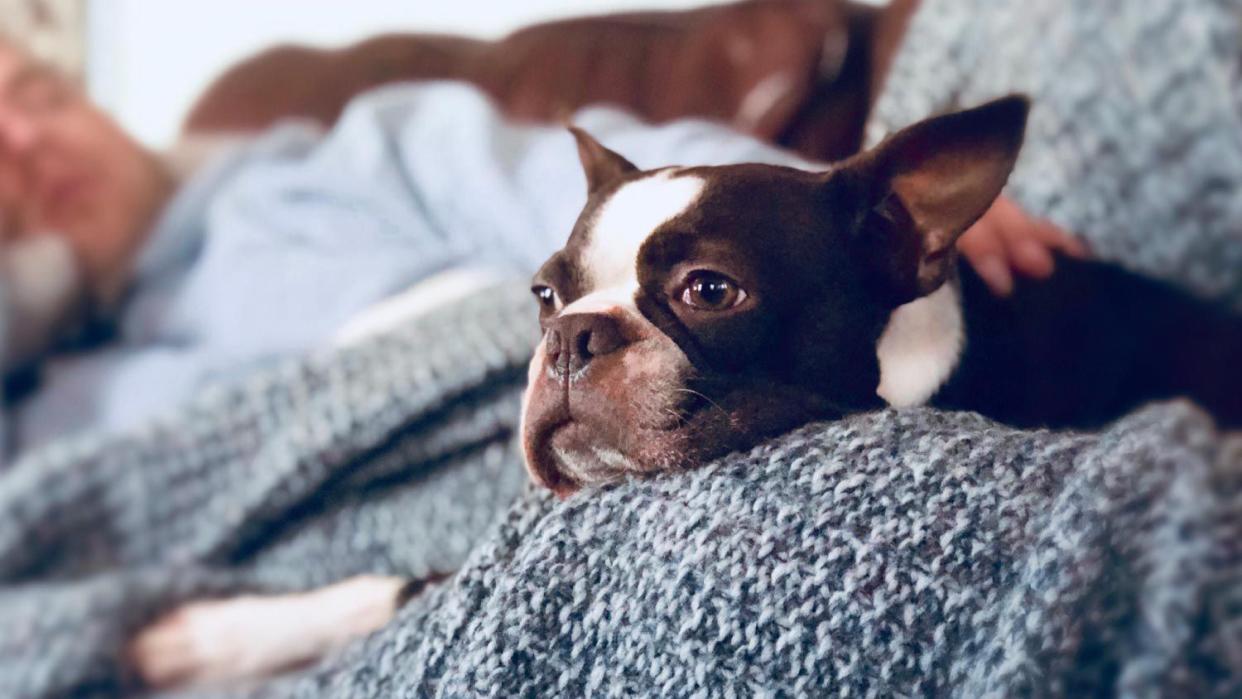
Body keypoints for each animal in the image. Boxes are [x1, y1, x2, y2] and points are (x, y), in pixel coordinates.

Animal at [128, 95, 1242, 685]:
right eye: (544, 294)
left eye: (711, 291)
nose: (573, 338)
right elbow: (394, 581)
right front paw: (208, 634)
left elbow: (423, 586)